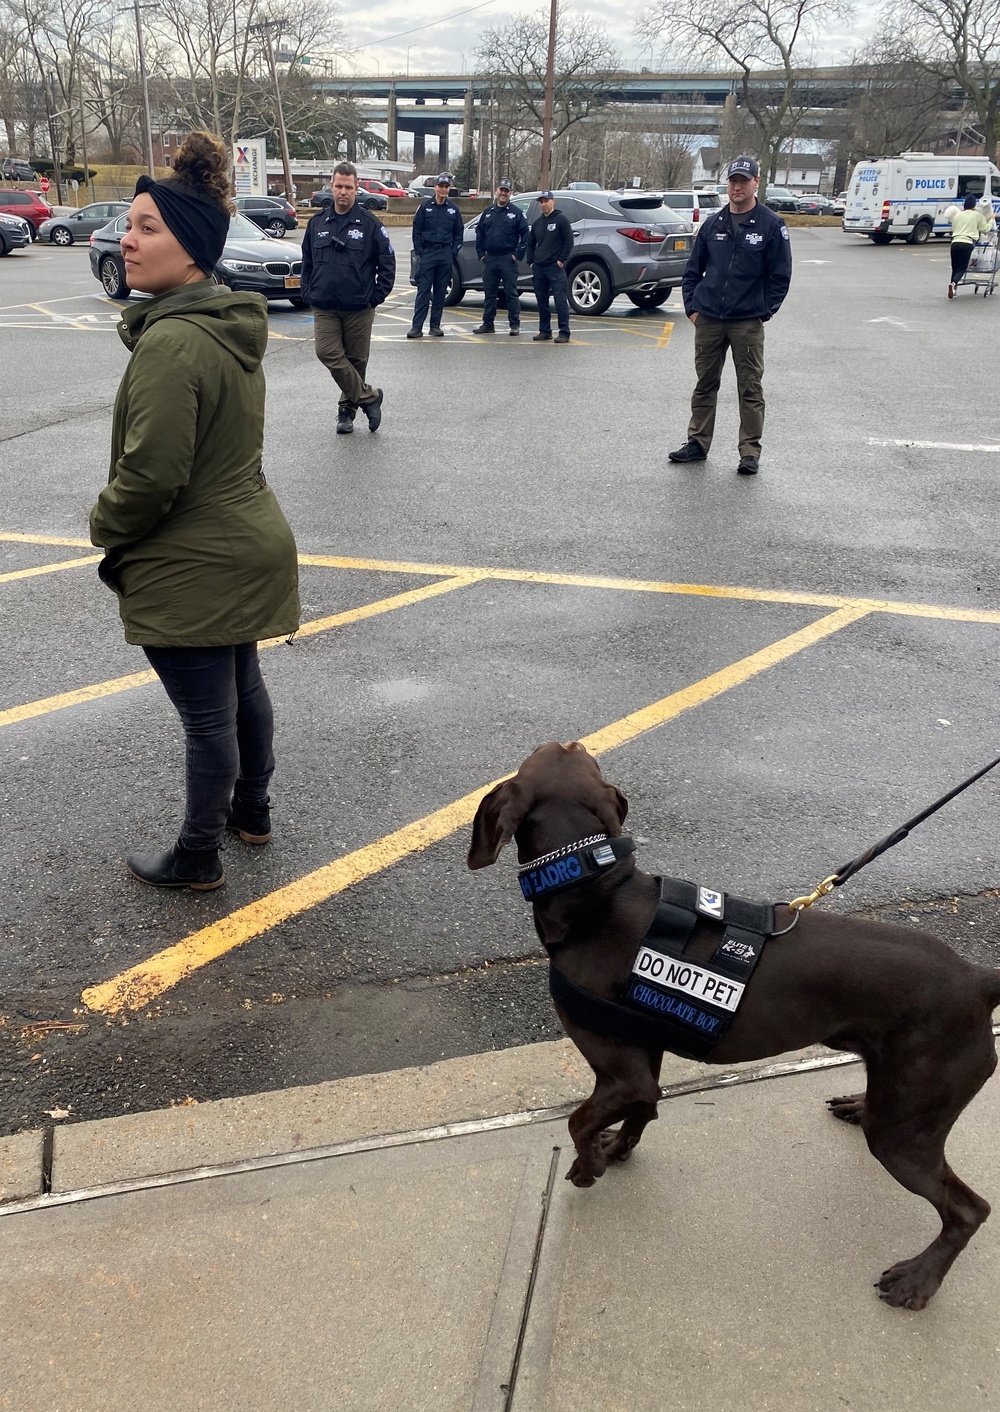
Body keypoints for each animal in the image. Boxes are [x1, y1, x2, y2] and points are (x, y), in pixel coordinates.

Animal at [468, 745, 999, 1304]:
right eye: (579, 757)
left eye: (544, 754)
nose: (574, 742)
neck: (595, 892)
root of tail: (978, 978)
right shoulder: (643, 1060)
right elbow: (643, 1109)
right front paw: (615, 1148)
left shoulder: (620, 1074)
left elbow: (578, 1121)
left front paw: (588, 1166)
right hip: (898, 1097)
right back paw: (859, 1105)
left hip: (904, 1130)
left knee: (970, 1210)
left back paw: (919, 1279)